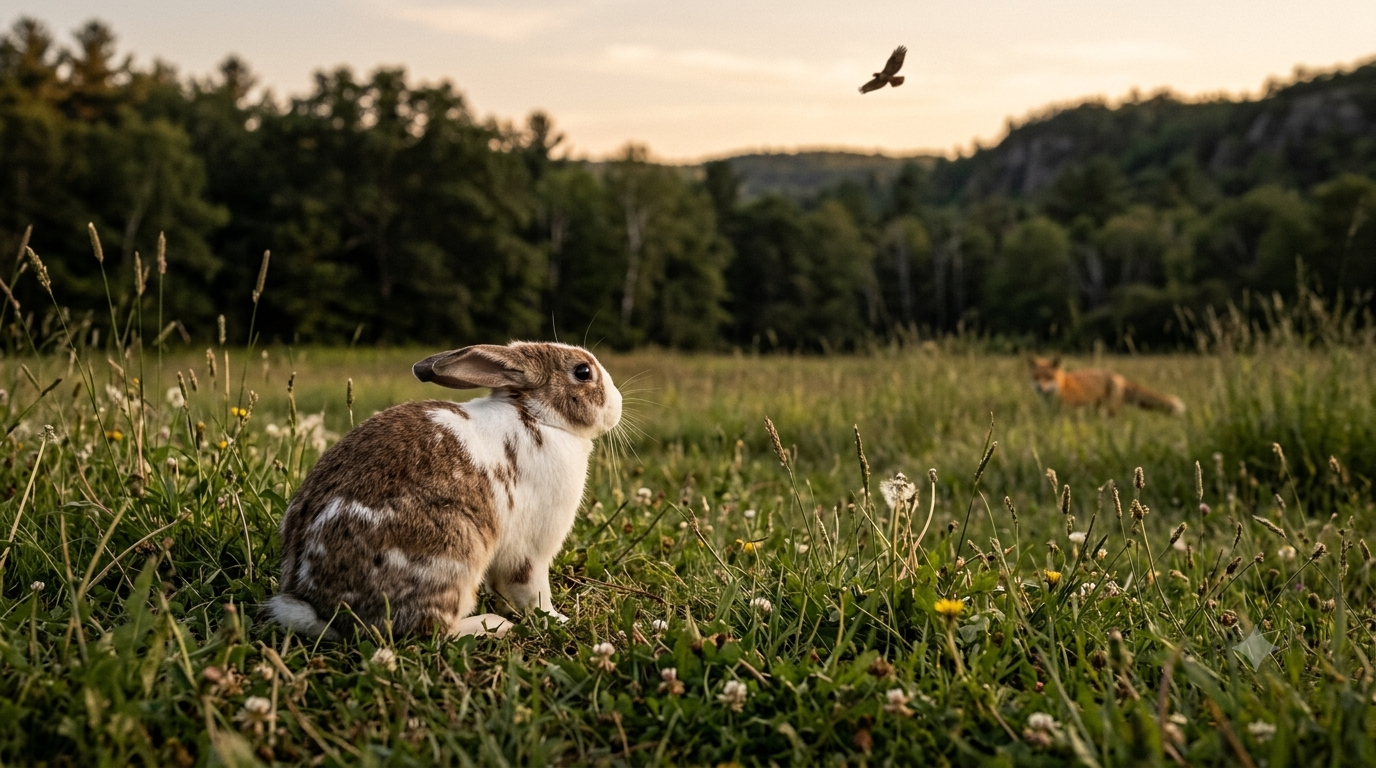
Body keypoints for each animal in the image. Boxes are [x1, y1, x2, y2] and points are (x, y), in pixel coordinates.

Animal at [266, 341, 622, 639]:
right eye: (583, 372)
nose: (618, 403)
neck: (539, 418)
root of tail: (319, 608)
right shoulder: (531, 549)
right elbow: (532, 591)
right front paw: (557, 619)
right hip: (453, 551)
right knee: (433, 629)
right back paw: (492, 625)